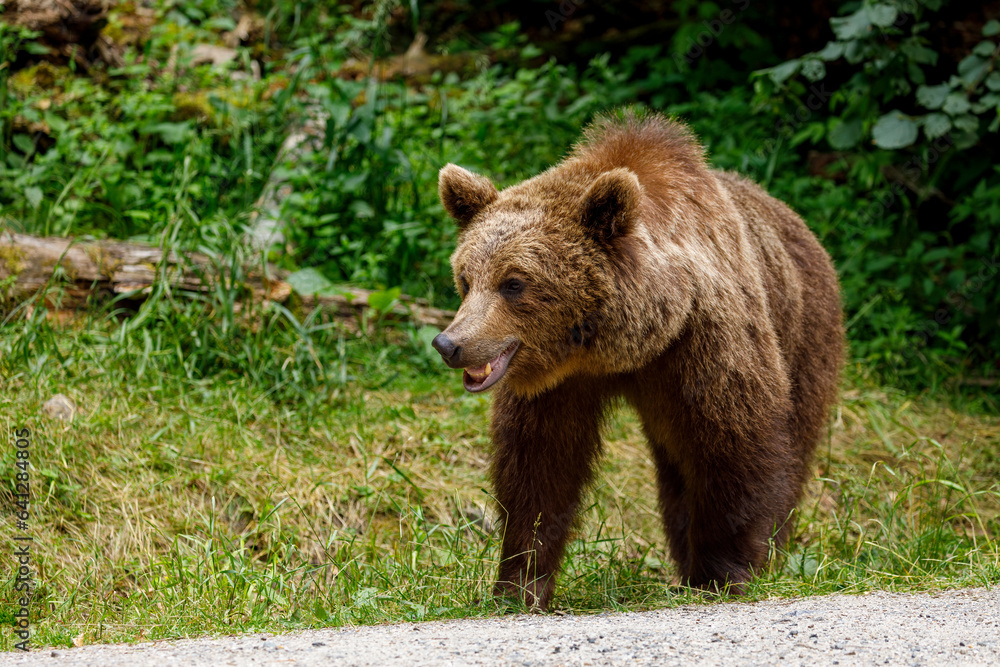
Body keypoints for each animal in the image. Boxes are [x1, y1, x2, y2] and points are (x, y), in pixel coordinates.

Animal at [430, 109, 844, 612]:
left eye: (514, 283)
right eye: (466, 279)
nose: (450, 343)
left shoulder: (703, 344)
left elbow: (735, 446)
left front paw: (724, 574)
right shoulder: (560, 386)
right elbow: (540, 467)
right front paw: (520, 584)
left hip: (805, 335)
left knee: (790, 448)